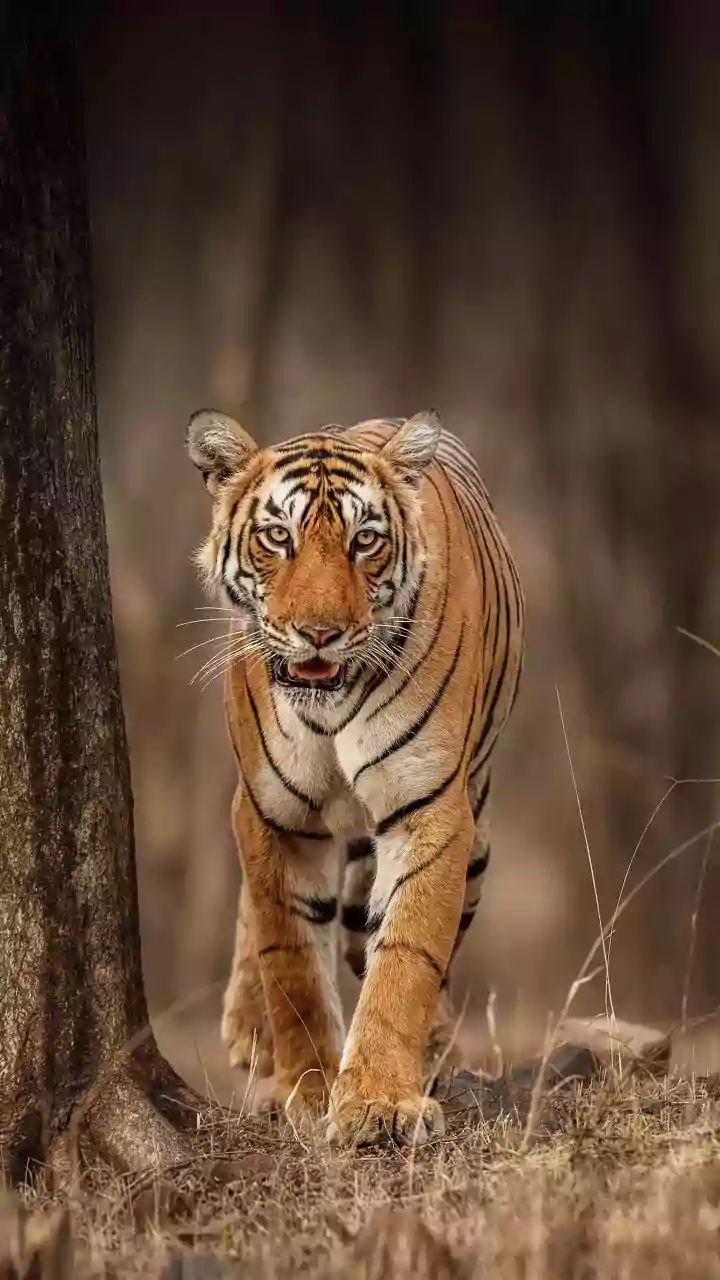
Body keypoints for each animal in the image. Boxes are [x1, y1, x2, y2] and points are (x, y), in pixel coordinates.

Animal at [186, 408, 524, 1147]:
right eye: (277, 537)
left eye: (364, 540)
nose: (319, 634)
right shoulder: (270, 813)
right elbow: (288, 956)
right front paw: (309, 1088)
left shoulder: (430, 808)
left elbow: (406, 954)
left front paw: (377, 1102)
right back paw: (251, 1030)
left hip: (479, 837)